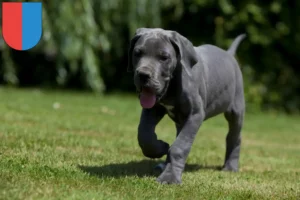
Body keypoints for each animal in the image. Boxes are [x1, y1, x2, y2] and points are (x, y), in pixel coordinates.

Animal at [126, 28, 246, 184]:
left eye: (164, 57)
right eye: (137, 53)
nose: (143, 75)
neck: (173, 85)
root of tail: (229, 54)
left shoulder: (195, 114)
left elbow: (179, 147)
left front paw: (170, 177)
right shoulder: (153, 109)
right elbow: (144, 135)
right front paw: (161, 148)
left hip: (236, 110)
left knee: (234, 136)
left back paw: (230, 166)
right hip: (181, 120)